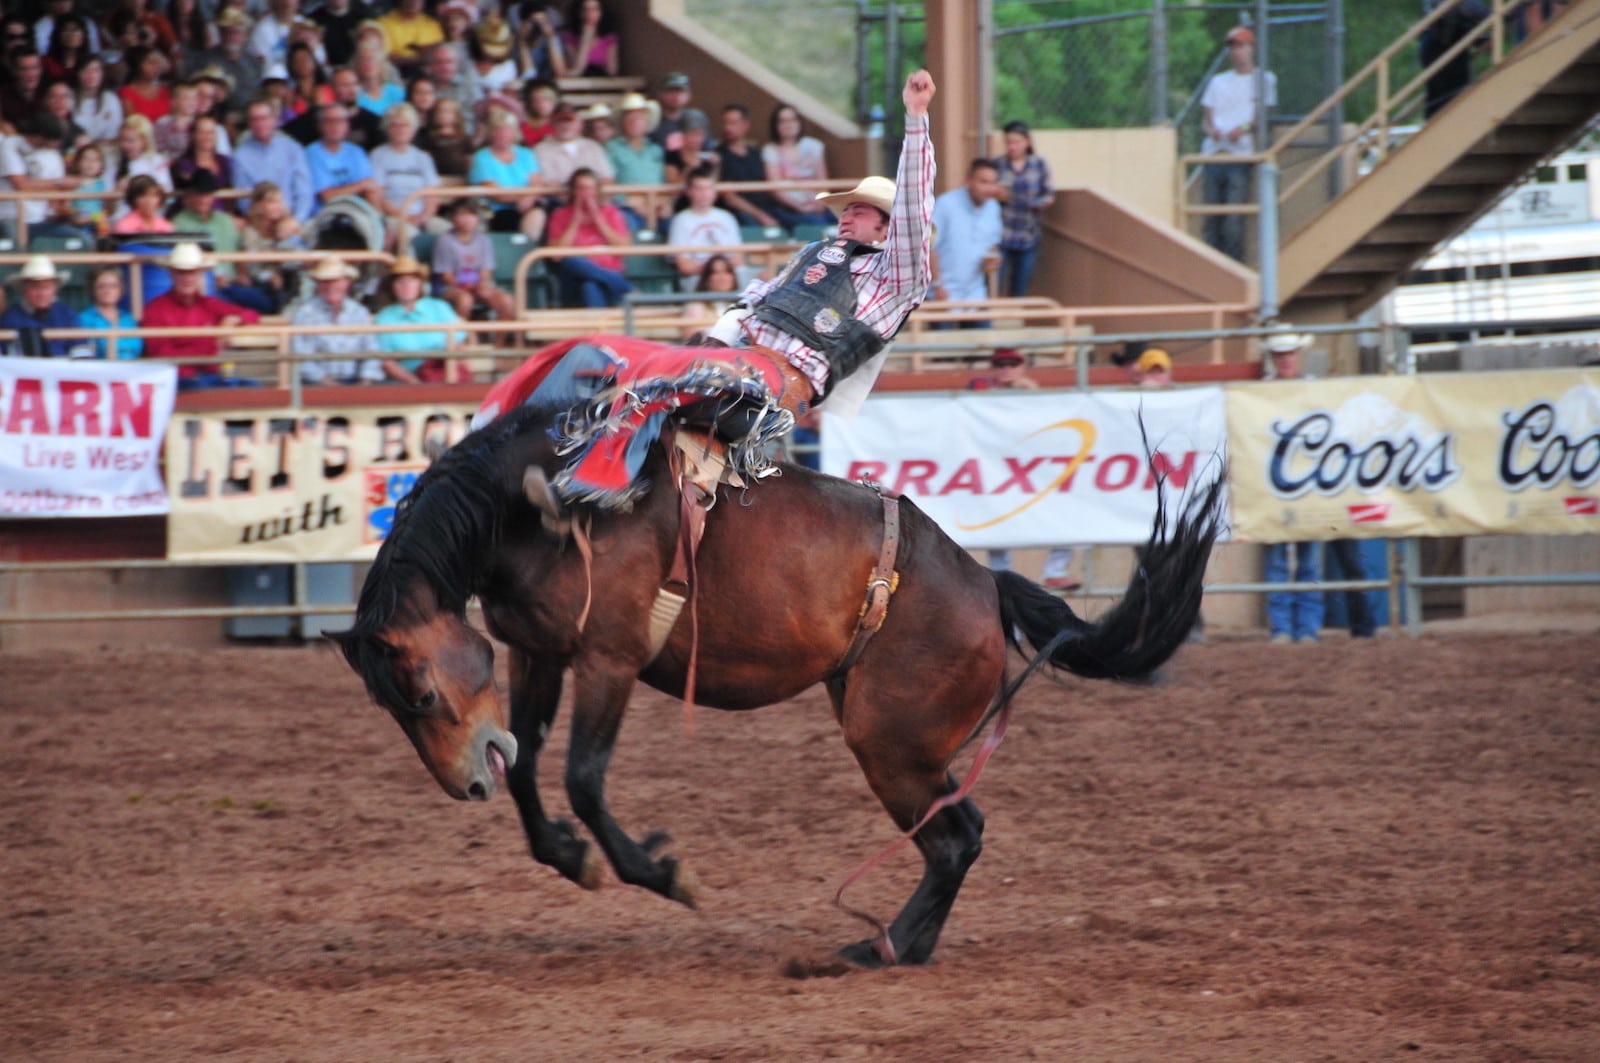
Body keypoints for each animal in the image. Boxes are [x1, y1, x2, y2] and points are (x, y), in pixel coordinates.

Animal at [334, 403, 1222, 966]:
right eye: (394, 707)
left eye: (419, 695)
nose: (463, 786)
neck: (538, 507)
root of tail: (986, 584)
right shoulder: (537, 653)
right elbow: (526, 767)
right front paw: (572, 857)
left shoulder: (609, 659)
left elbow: (583, 778)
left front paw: (665, 872)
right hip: (899, 742)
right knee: (959, 831)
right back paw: (902, 944)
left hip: (890, 743)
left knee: (954, 837)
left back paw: (878, 947)